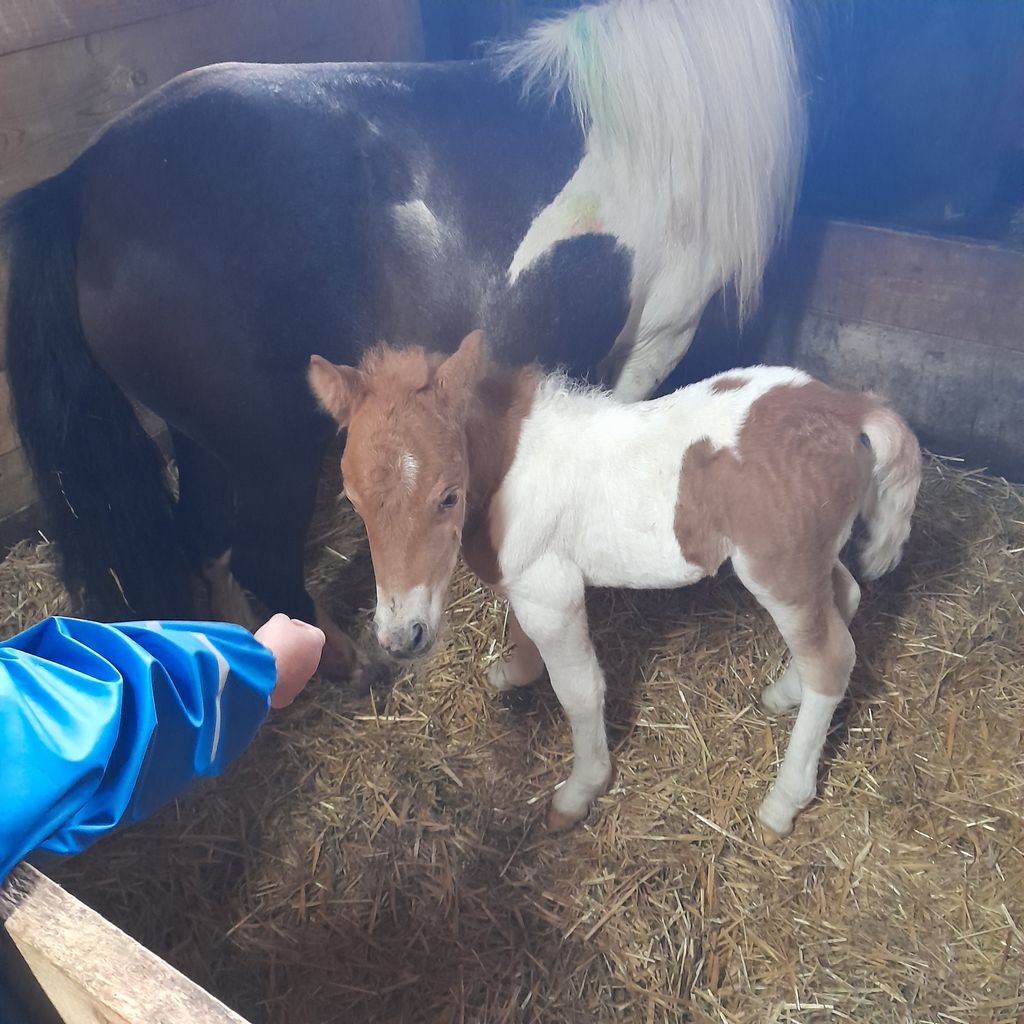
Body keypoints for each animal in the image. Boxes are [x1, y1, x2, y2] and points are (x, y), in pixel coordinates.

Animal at [0, 0, 802, 679]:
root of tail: (83, 181)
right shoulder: (645, 347)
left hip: (203, 441)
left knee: (207, 547)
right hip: (272, 452)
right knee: (261, 561)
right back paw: (349, 665)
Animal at [309, 331, 921, 835]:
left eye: (448, 496)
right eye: (354, 502)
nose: (400, 637)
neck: (509, 466)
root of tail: (850, 408)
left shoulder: (552, 593)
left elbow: (580, 691)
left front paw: (579, 792)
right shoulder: (529, 583)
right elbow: (524, 640)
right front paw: (512, 673)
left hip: (778, 572)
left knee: (833, 658)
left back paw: (781, 803)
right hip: (811, 560)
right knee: (846, 598)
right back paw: (784, 692)